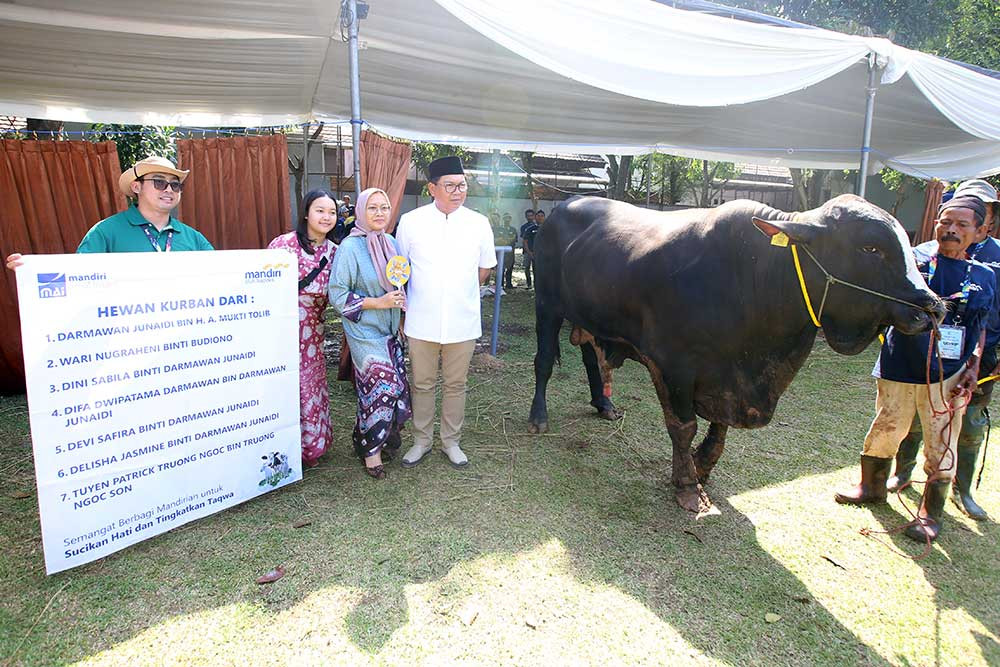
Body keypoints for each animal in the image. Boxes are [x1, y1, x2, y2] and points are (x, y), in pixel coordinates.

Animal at [532, 196, 944, 516]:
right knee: (543, 362)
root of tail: (562, 206)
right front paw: (687, 485)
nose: (932, 307)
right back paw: (538, 416)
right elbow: (683, 427)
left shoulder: (729, 378)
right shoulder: (676, 366)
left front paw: (701, 466)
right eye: (870, 248)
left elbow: (720, 429)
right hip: (548, 305)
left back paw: (603, 404)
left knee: (591, 359)